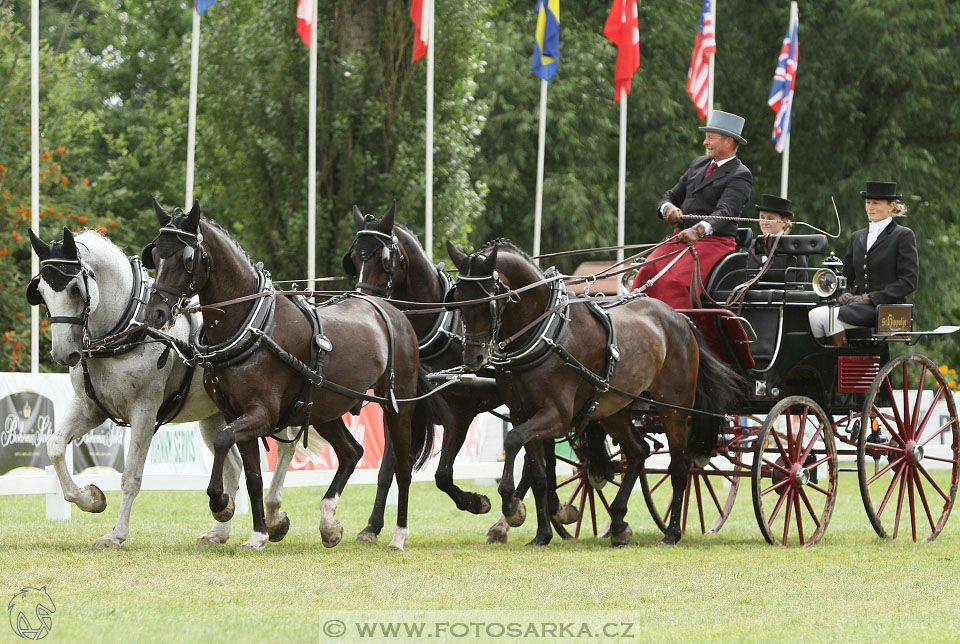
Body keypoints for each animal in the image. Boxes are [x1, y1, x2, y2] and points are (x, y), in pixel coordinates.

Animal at [27, 226, 296, 548]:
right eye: (41, 293)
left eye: (74, 290)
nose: (63, 354)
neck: (126, 329)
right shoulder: (90, 407)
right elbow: (55, 447)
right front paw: (90, 498)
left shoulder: (144, 410)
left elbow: (131, 475)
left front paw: (116, 535)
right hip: (215, 416)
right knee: (233, 464)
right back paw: (220, 527)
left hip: (272, 408)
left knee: (287, 448)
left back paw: (276, 515)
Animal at [142, 204, 432, 552]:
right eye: (154, 254)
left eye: (186, 258)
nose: (156, 312)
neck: (253, 324)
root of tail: (393, 311)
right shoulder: (235, 412)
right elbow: (253, 476)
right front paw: (259, 534)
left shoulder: (262, 414)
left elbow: (224, 440)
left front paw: (221, 503)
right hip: (322, 408)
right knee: (351, 453)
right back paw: (329, 522)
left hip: (397, 405)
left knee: (402, 465)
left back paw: (398, 535)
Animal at [444, 239, 744, 544]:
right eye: (457, 298)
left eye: (488, 299)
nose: (474, 358)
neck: (546, 333)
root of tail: (682, 319)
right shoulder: (520, 413)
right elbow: (538, 474)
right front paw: (541, 534)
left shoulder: (557, 416)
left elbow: (514, 440)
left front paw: (511, 505)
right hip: (615, 408)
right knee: (639, 451)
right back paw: (620, 524)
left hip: (673, 407)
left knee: (680, 466)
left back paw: (671, 532)